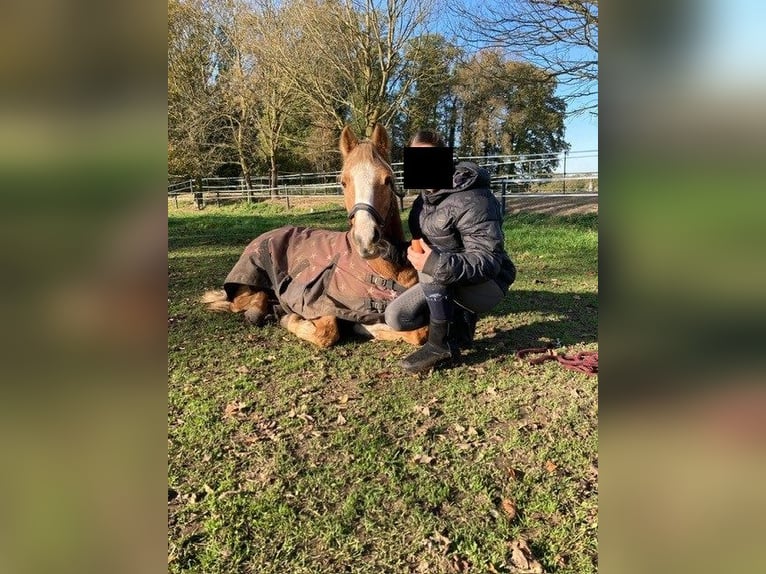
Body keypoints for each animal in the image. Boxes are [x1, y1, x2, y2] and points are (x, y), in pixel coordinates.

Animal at [201, 123, 427, 348]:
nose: (366, 239)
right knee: (244, 303)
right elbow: (327, 330)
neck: (383, 270)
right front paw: (290, 318)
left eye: (388, 180)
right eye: (343, 182)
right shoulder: (316, 303)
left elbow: (419, 332)